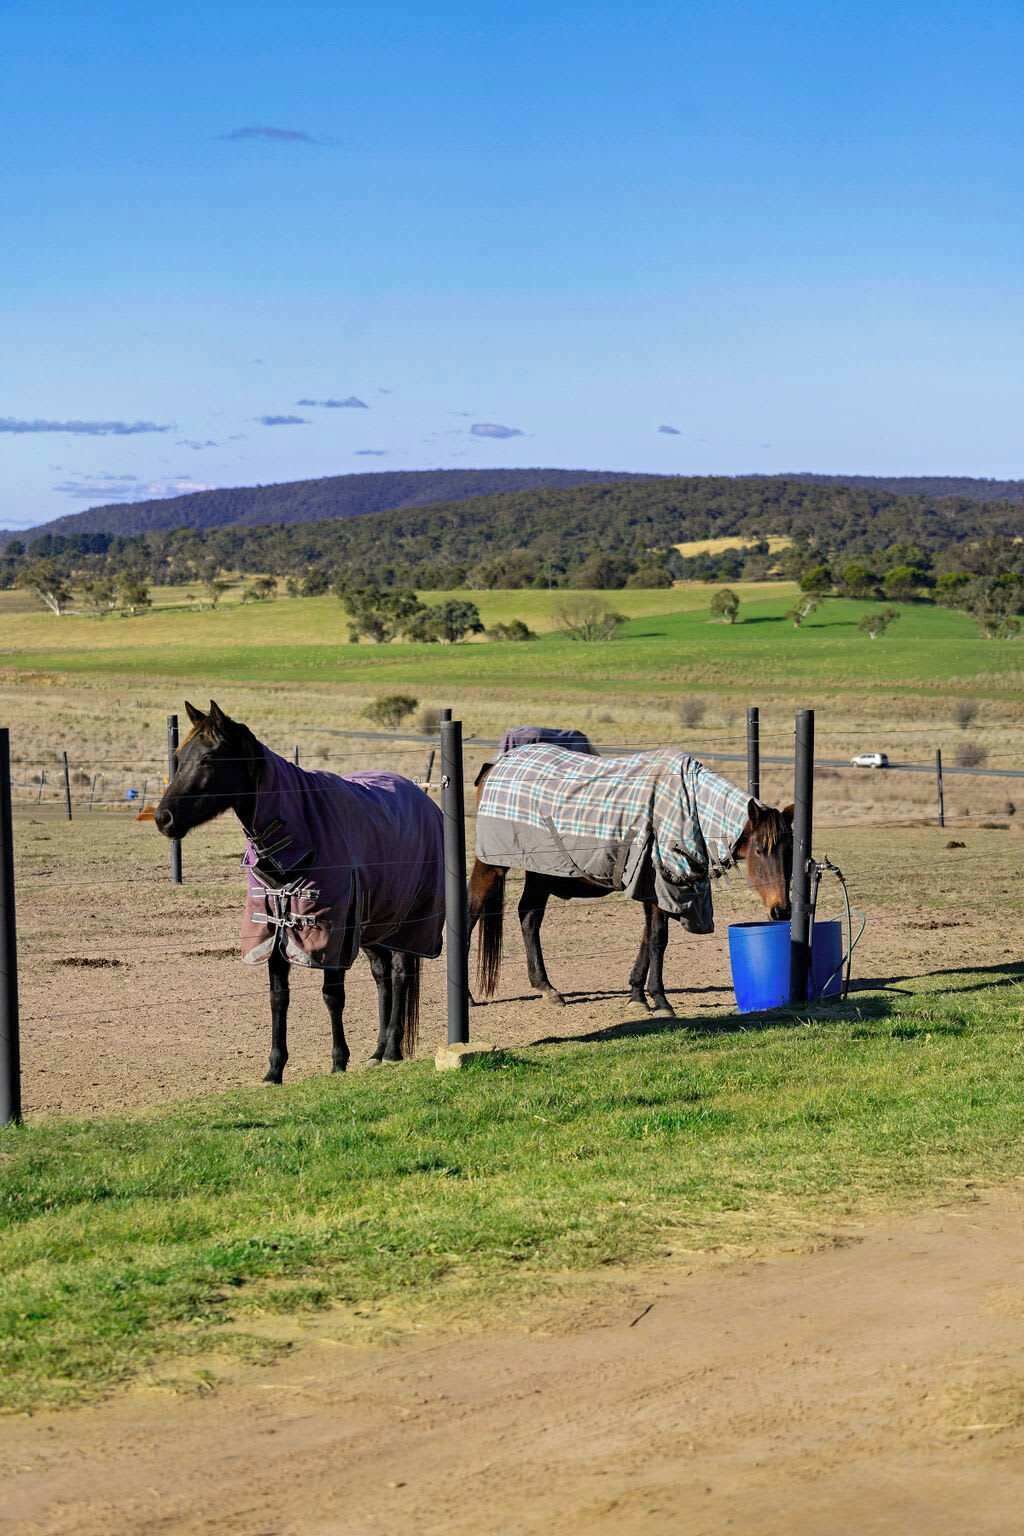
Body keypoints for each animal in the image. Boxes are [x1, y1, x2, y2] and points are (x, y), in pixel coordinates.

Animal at [155, 701, 444, 1082]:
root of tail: (421, 798)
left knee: (399, 974)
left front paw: (338, 1062)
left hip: (406, 922)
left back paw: (393, 1050)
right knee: (382, 976)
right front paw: (274, 1070)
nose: (163, 818)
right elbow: (279, 998)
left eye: (208, 758)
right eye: (179, 756)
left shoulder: (331, 931)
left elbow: (332, 996)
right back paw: (378, 1052)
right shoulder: (274, 929)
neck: (299, 834)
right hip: (373, 925)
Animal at [468, 744, 793, 1017]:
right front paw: (660, 1000)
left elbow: (649, 938)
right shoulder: (661, 887)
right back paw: (469, 997)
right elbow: (658, 938)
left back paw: (546, 988)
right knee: (473, 911)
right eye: (761, 850)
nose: (781, 910)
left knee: (529, 917)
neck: (691, 810)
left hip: (541, 870)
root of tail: (496, 766)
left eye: (789, 850)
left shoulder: (655, 891)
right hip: (493, 864)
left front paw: (637, 994)